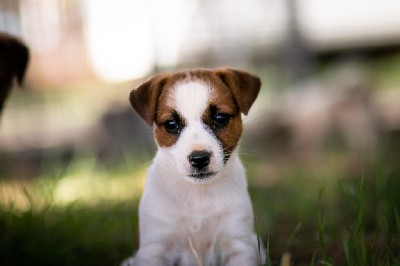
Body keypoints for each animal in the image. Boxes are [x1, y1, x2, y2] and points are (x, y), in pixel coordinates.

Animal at [123, 67, 264, 264]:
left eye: (220, 118)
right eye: (171, 124)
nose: (199, 159)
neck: (198, 194)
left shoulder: (239, 246)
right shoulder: (155, 249)